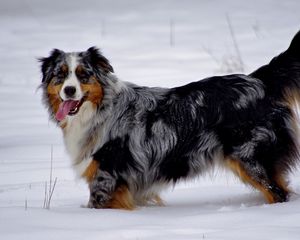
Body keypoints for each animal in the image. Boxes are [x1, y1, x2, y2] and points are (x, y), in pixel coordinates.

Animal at [39, 31, 300, 210]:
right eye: (60, 75)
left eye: (84, 75)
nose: (69, 91)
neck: (101, 109)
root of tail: (259, 80)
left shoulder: (107, 178)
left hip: (252, 157)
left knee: (278, 193)